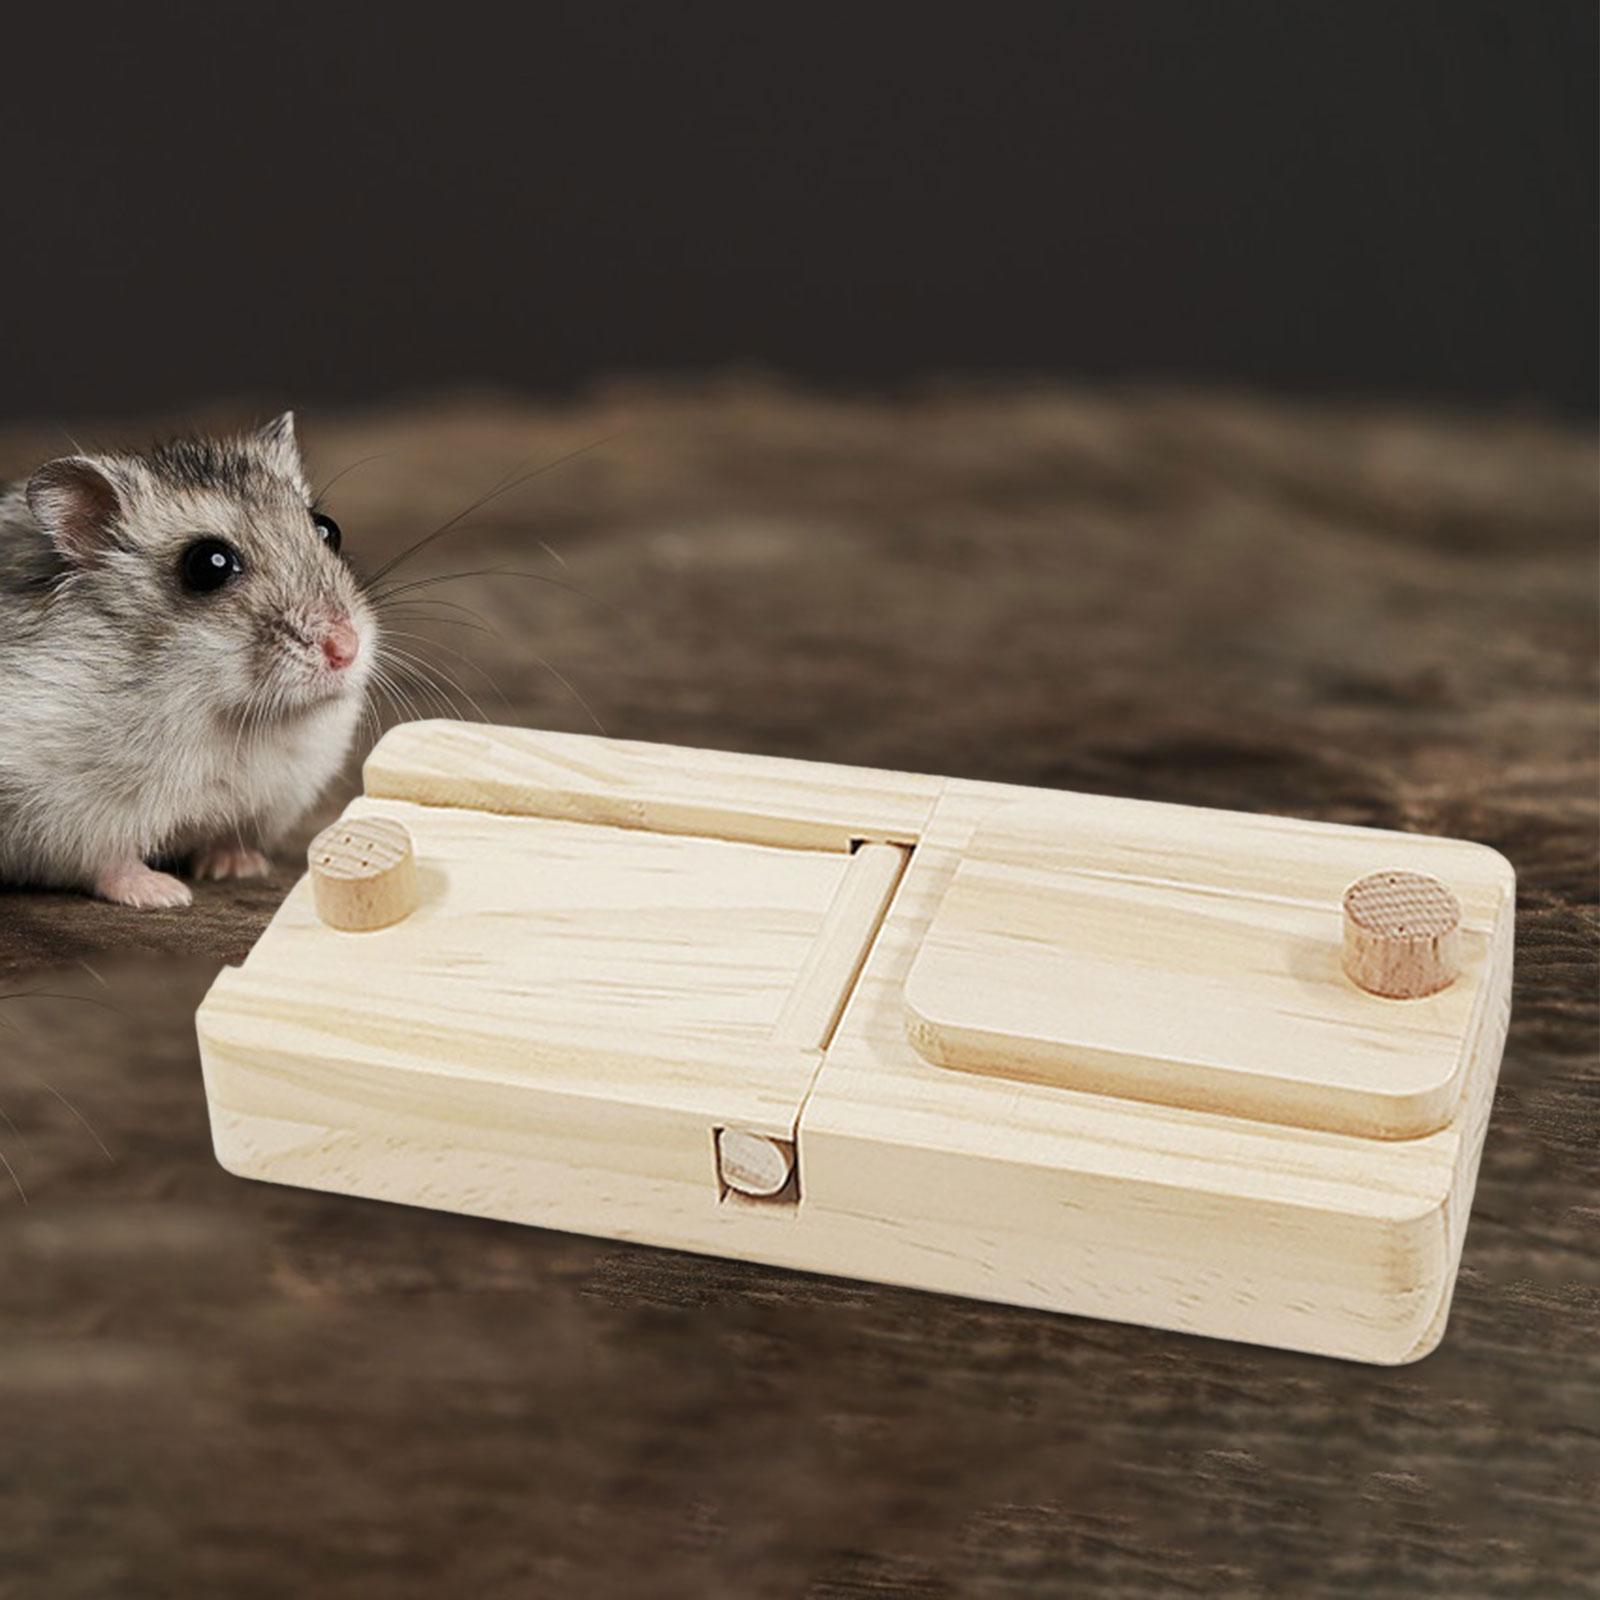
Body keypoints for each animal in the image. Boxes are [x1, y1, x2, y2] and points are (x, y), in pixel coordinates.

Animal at [0, 413, 378, 908]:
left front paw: (238, 867)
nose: (345, 648)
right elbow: (106, 864)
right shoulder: (63, 816)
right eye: (209, 564)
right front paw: (165, 893)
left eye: (328, 529)